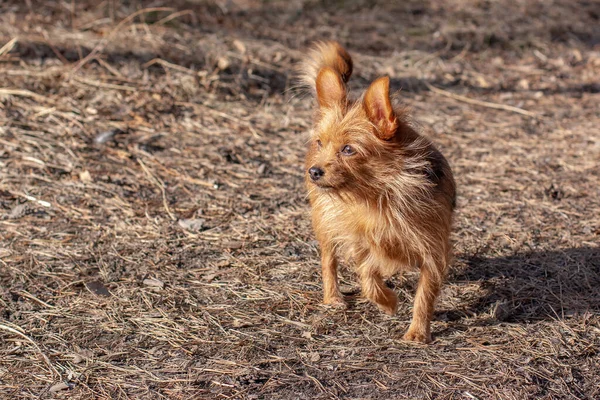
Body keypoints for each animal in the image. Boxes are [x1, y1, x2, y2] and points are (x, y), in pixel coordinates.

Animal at [300, 41, 454, 344]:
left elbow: (425, 293)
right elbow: (367, 276)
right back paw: (333, 298)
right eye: (320, 143)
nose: (314, 171)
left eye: (348, 149)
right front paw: (388, 302)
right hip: (326, 221)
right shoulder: (360, 241)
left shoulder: (432, 250)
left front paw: (417, 333)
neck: (380, 197)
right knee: (328, 259)